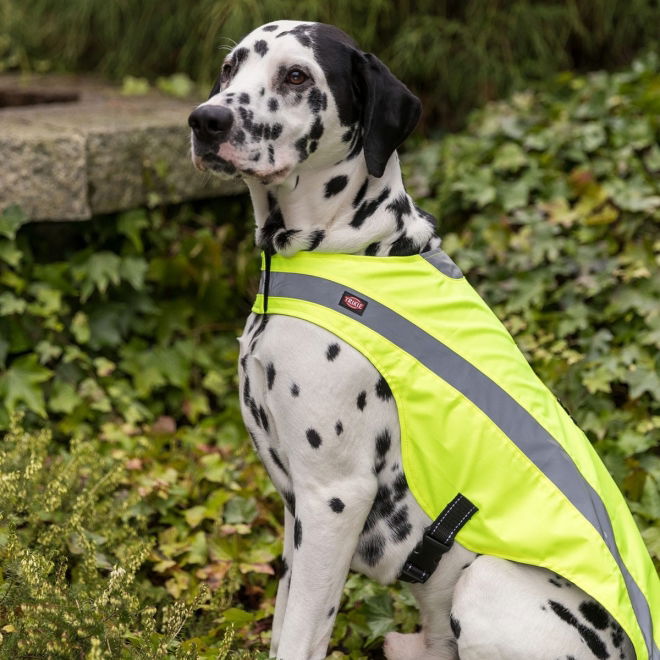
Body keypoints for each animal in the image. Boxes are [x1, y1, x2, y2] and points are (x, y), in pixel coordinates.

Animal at [187, 20, 636, 660]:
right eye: (230, 69)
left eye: (296, 75)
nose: (206, 121)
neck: (351, 248)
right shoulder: (297, 515)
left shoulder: (334, 500)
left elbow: (301, 637)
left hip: (483, 582)